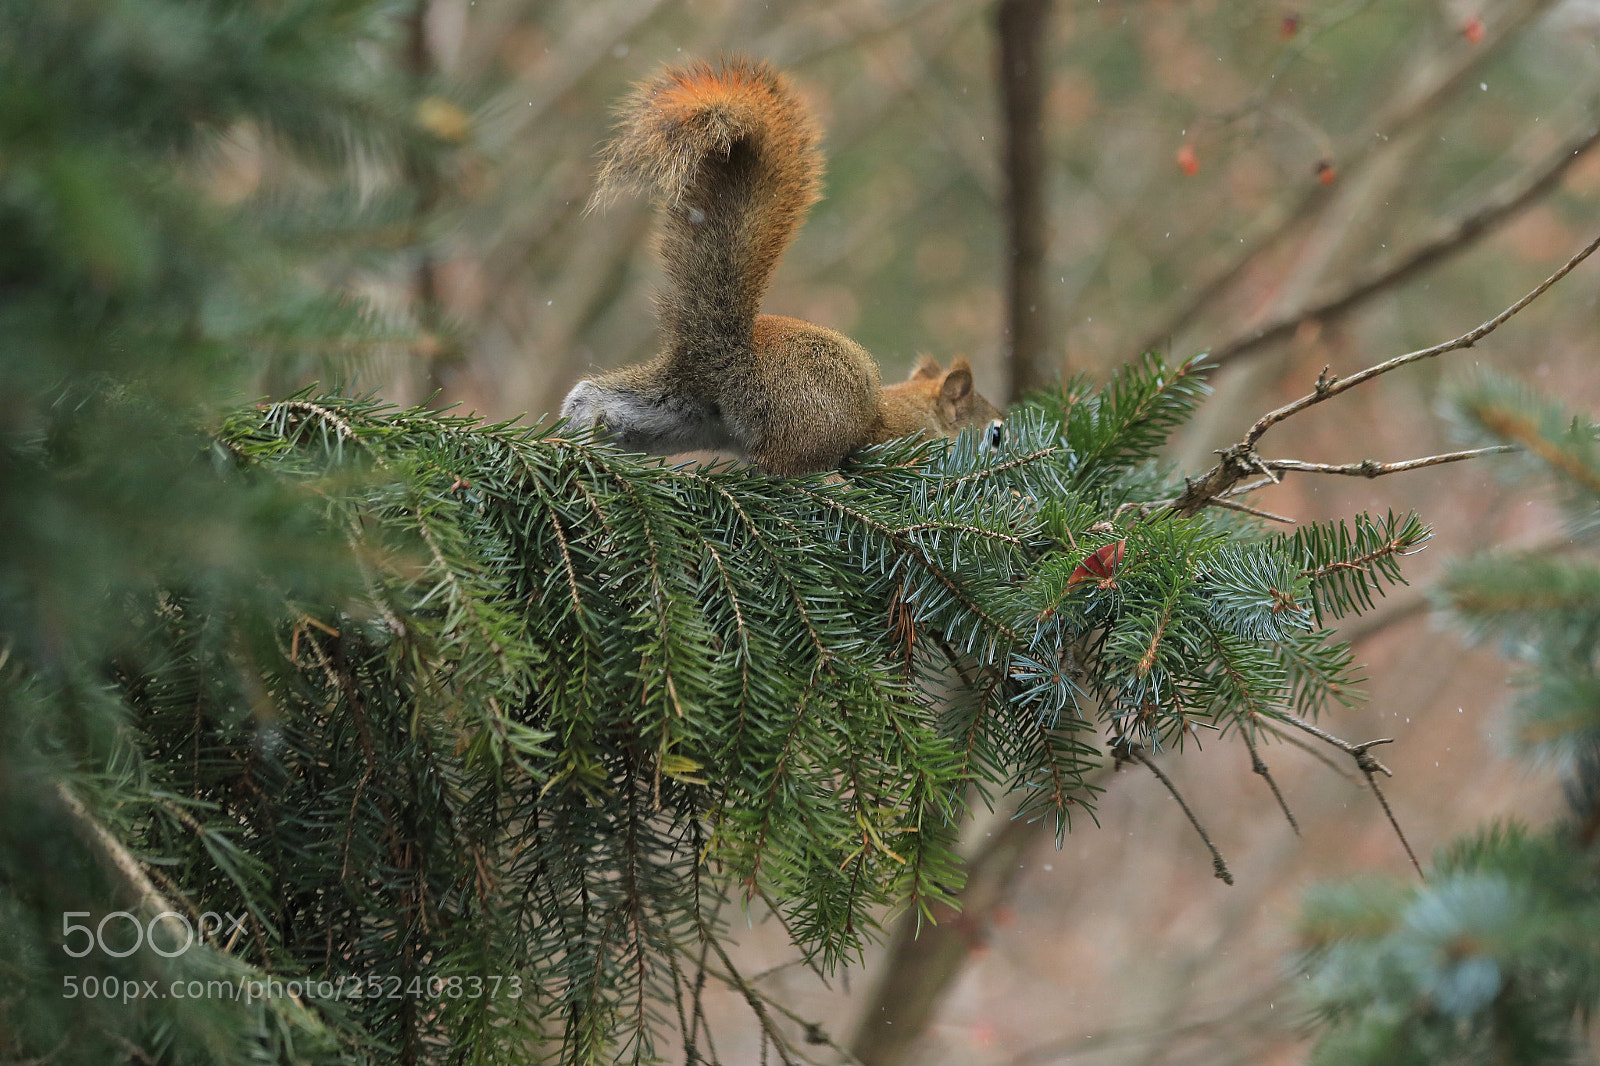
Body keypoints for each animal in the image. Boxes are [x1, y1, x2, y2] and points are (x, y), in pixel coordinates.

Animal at [560, 56, 1003, 476]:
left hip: (683, 411)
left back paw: (577, 429)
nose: (1009, 441)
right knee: (781, 468)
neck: (919, 410)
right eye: (996, 435)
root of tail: (732, 358)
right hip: (812, 419)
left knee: (609, 401)